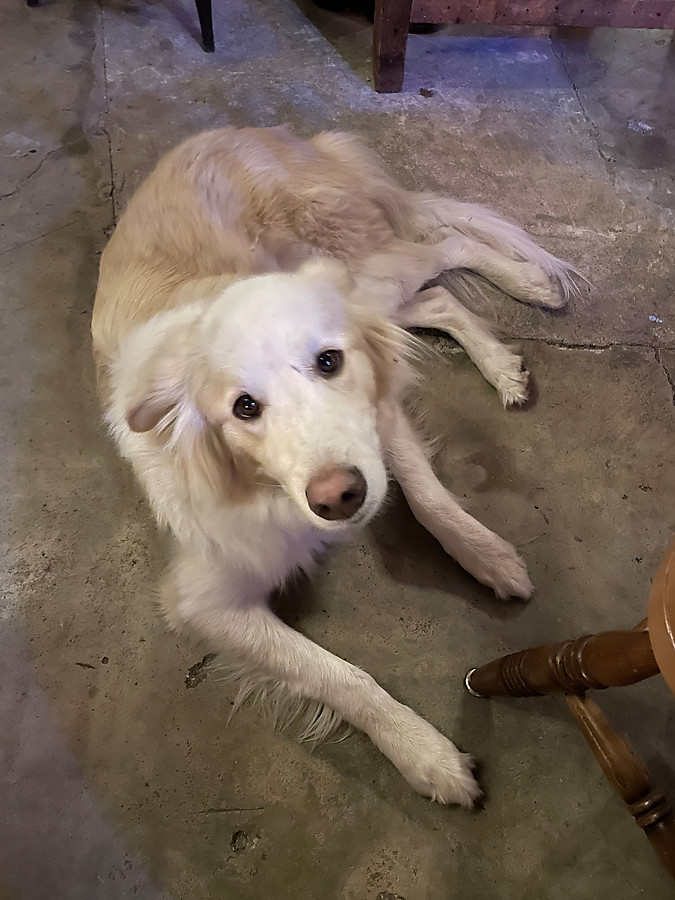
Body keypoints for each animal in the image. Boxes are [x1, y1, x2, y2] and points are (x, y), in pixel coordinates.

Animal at [91, 125, 580, 800]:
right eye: (243, 408)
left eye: (329, 362)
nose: (337, 497)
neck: (265, 486)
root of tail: (270, 133)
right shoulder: (205, 599)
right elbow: (341, 677)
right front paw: (426, 753)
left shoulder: (373, 410)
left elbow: (426, 494)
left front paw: (486, 554)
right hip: (373, 290)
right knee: (436, 298)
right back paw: (503, 362)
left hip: (364, 273)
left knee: (445, 249)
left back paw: (532, 287)